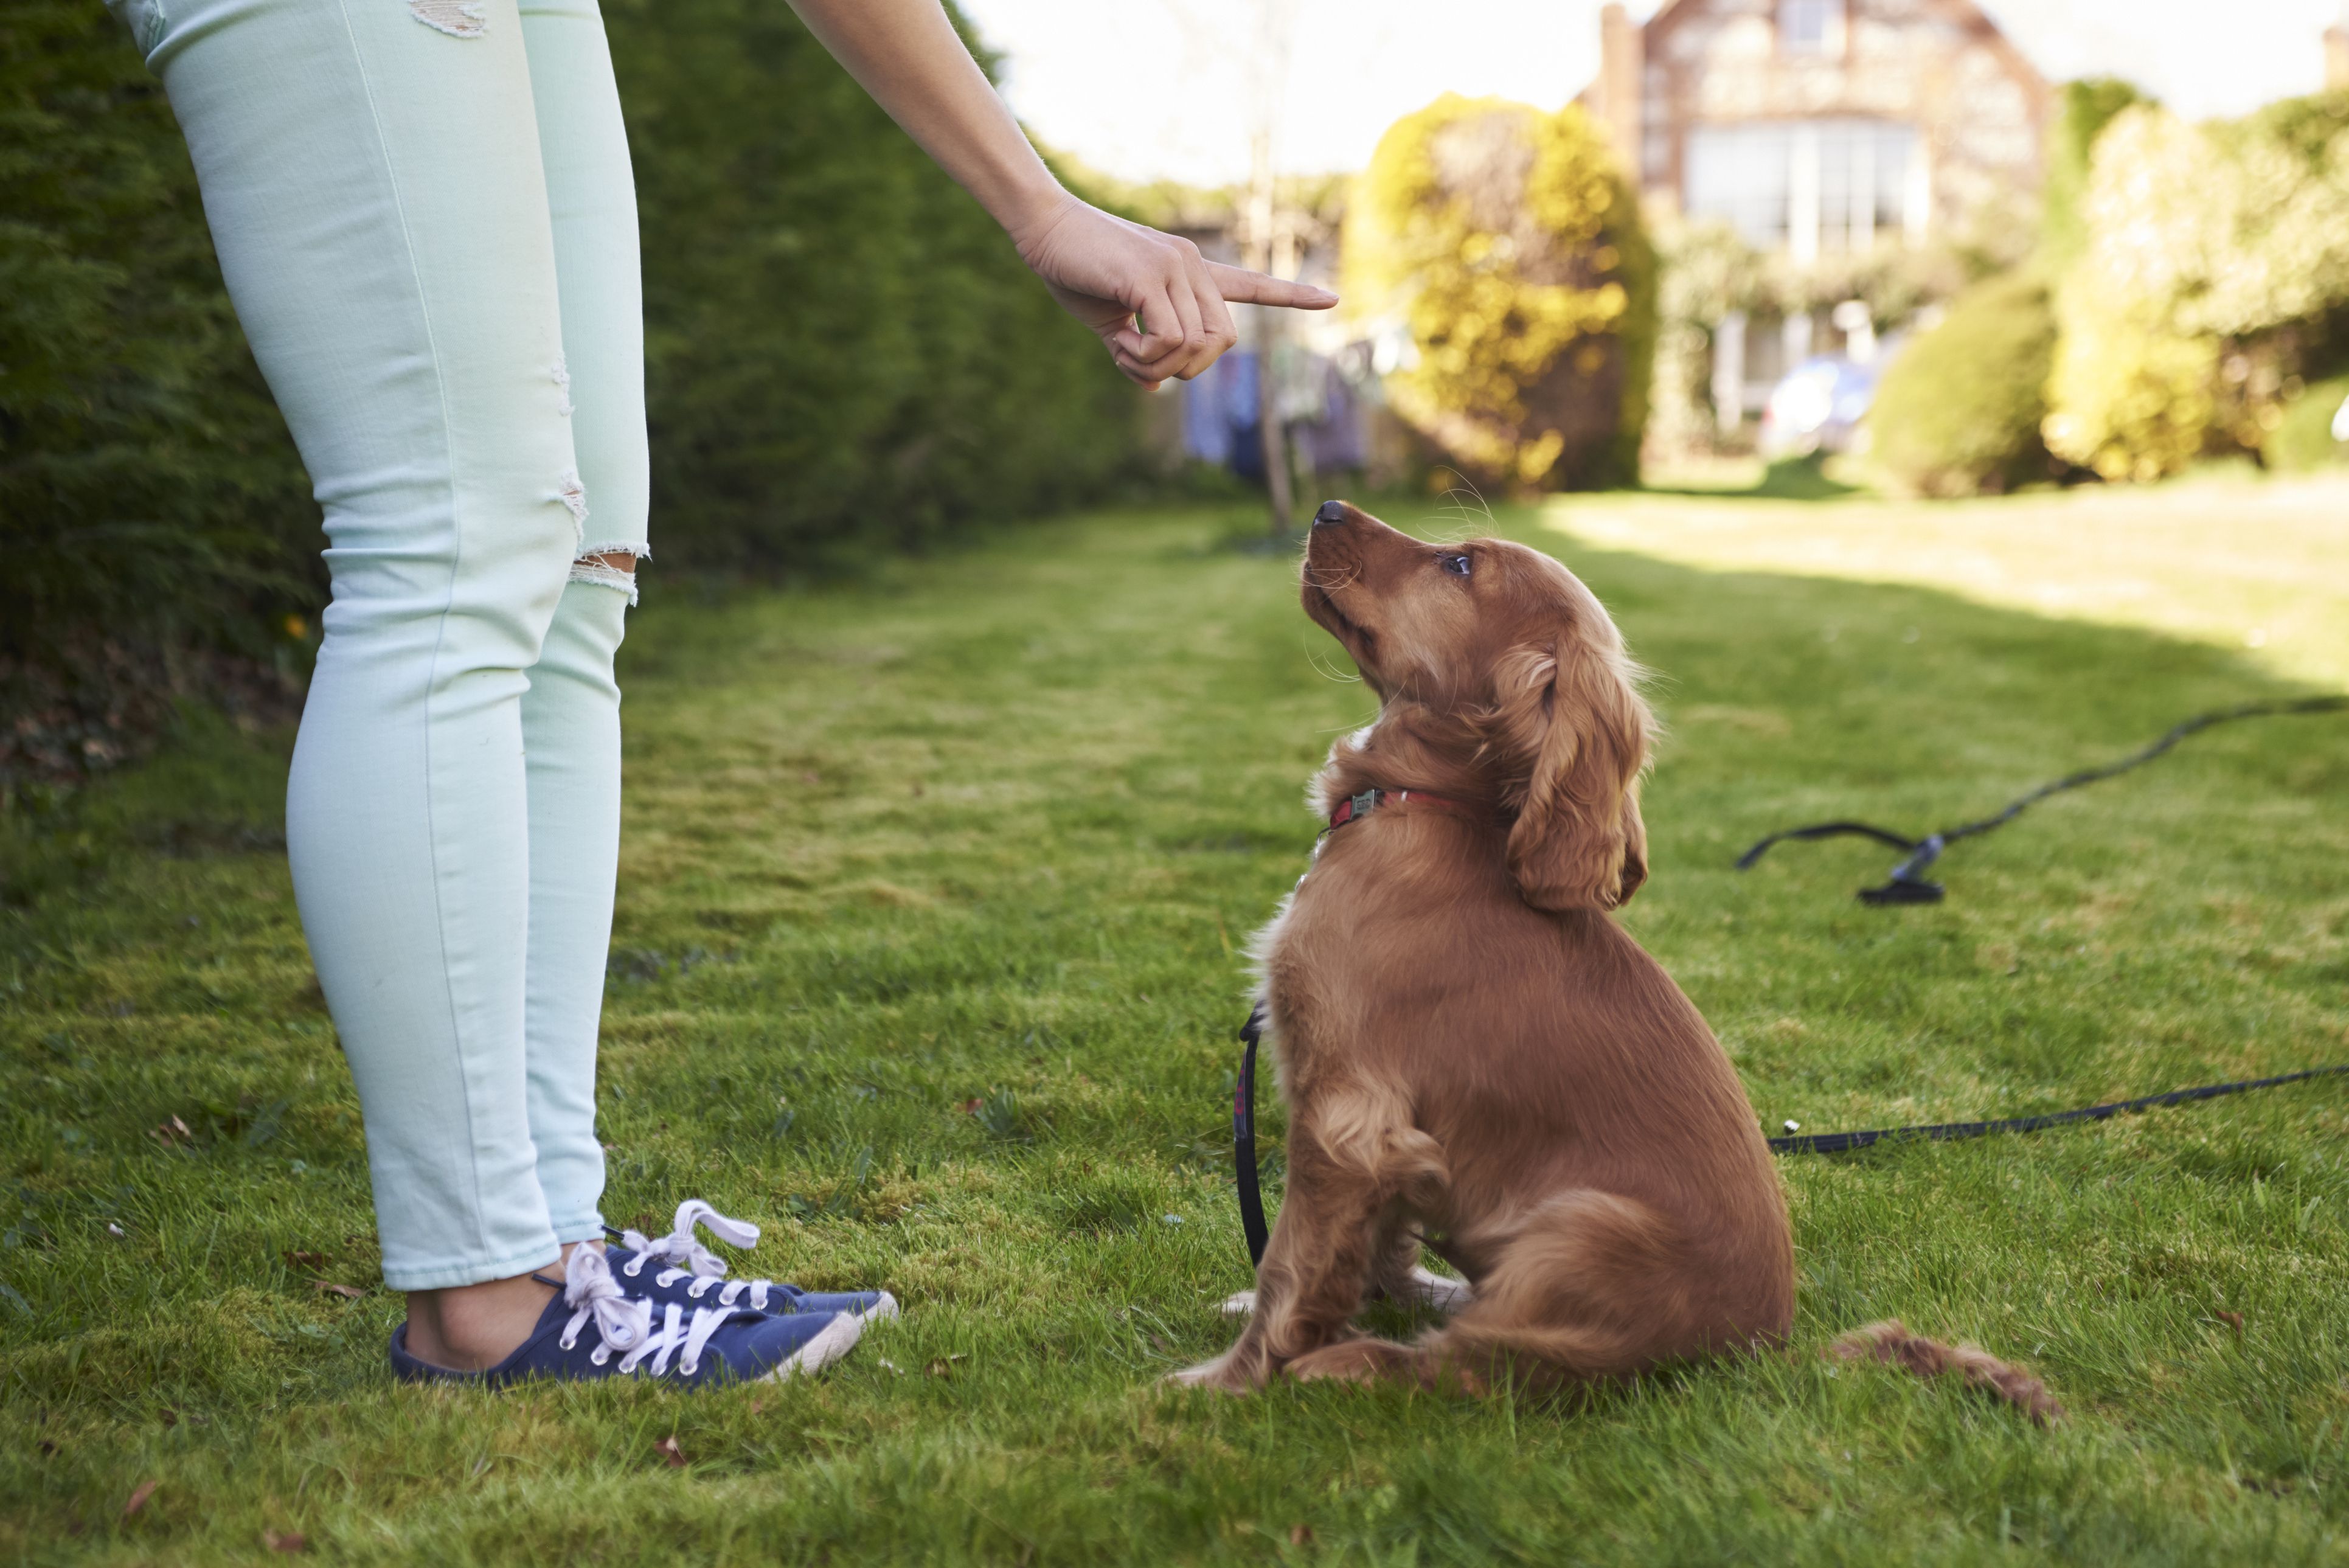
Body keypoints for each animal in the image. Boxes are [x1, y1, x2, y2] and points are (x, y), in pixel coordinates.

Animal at [1174, 502, 2058, 1418]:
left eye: (1459, 566)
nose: (1325, 509)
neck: (1428, 807)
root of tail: (1760, 1350)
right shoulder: (1380, 1133)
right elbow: (1368, 1245)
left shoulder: (1345, 1116)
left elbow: (1293, 1260)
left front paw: (1223, 1383)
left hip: (1578, 1230)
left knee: (1484, 1363)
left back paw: (1357, 1361)